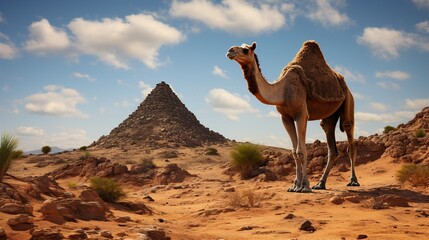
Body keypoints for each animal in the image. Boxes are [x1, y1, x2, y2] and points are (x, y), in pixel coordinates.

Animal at [226, 40, 360, 192]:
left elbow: (301, 151)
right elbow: (294, 152)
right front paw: (295, 186)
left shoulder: (301, 114)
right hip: (330, 115)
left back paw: (353, 181)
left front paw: (305, 186)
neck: (283, 90)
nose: (230, 51)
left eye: (245, 50)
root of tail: (346, 86)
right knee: (330, 138)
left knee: (349, 134)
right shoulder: (286, 118)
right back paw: (320, 184)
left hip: (348, 100)